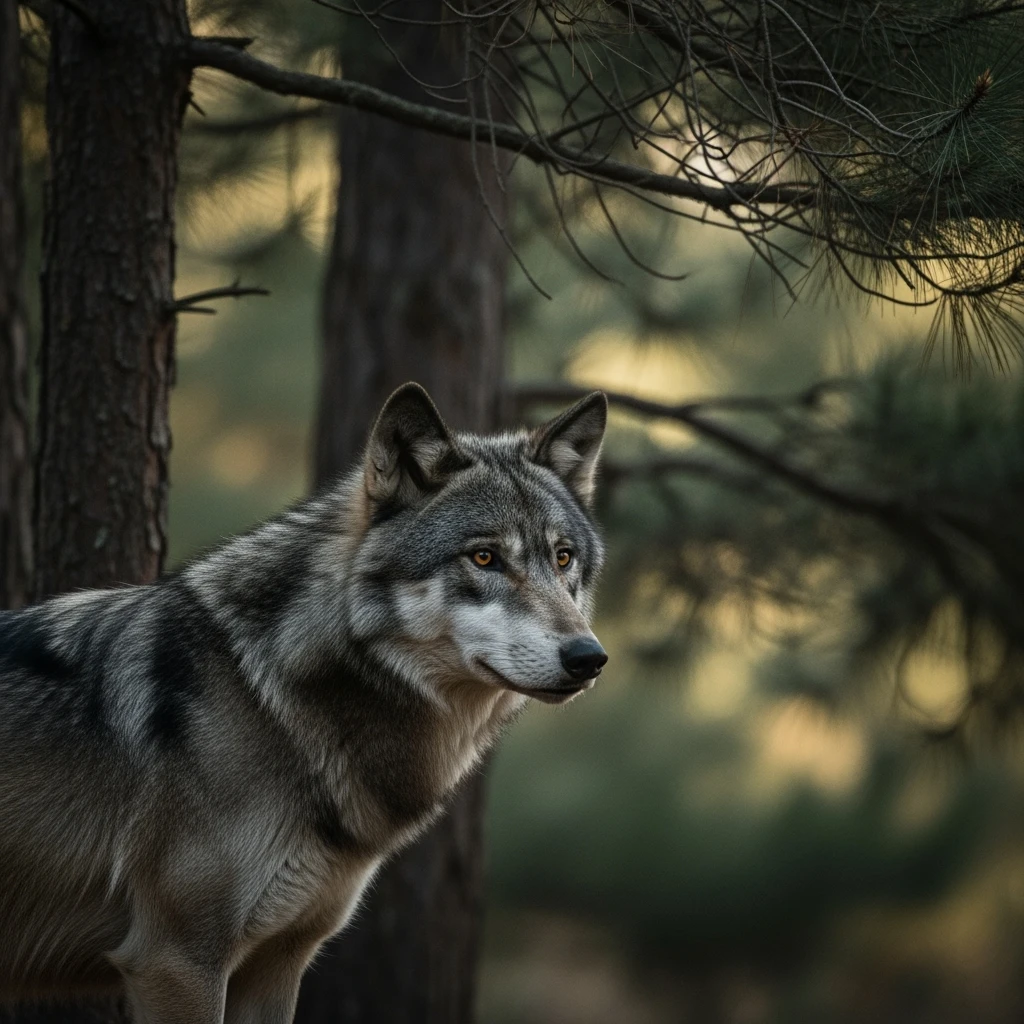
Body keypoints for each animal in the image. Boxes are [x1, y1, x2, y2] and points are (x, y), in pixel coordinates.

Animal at [0, 382, 608, 1024]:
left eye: (563, 557)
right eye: (485, 558)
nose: (589, 657)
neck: (269, 693)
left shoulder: (279, 962)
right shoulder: (175, 961)